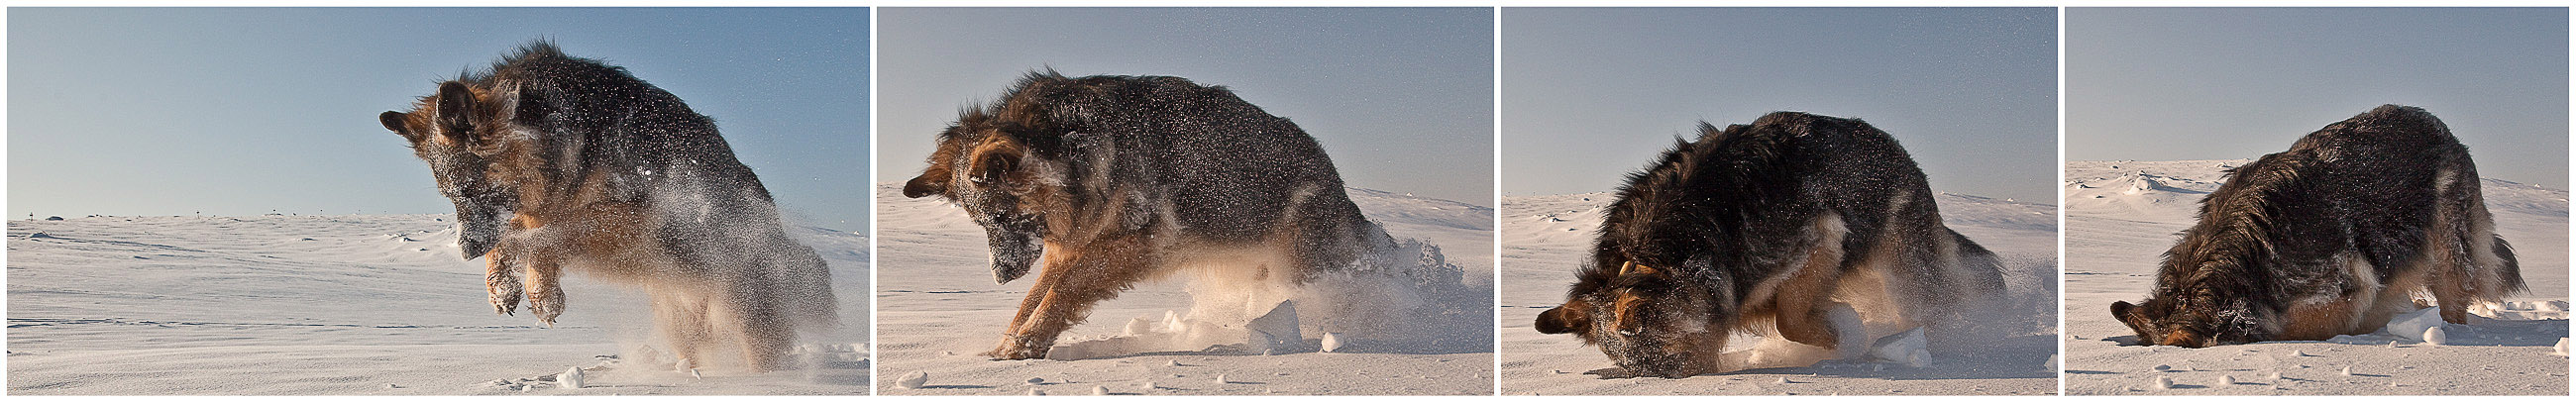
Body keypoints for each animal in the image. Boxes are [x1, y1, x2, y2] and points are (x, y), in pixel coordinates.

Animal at [376, 41, 834, 370]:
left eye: (471, 188)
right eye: (449, 196)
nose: (465, 252)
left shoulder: (634, 221)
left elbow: (540, 236)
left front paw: (523, 280)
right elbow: (528, 234)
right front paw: (518, 289)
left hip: (743, 315)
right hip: (680, 323)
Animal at [901, 70, 1401, 360]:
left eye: (1004, 215)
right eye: (981, 223)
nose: (999, 276)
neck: (1073, 146)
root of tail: (1334, 179)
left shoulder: (1138, 242)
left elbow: (1063, 290)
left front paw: (1025, 343)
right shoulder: (1072, 246)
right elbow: (1035, 296)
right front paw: (1010, 340)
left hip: (1306, 264)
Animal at [1525, 111, 2008, 378]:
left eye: (1663, 355)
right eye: (1636, 368)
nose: (1669, 381)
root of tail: (1897, 149)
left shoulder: (1822, 236)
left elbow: (1790, 318)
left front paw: (1843, 332)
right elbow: (1778, 313)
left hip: (1906, 262)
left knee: (1936, 300)